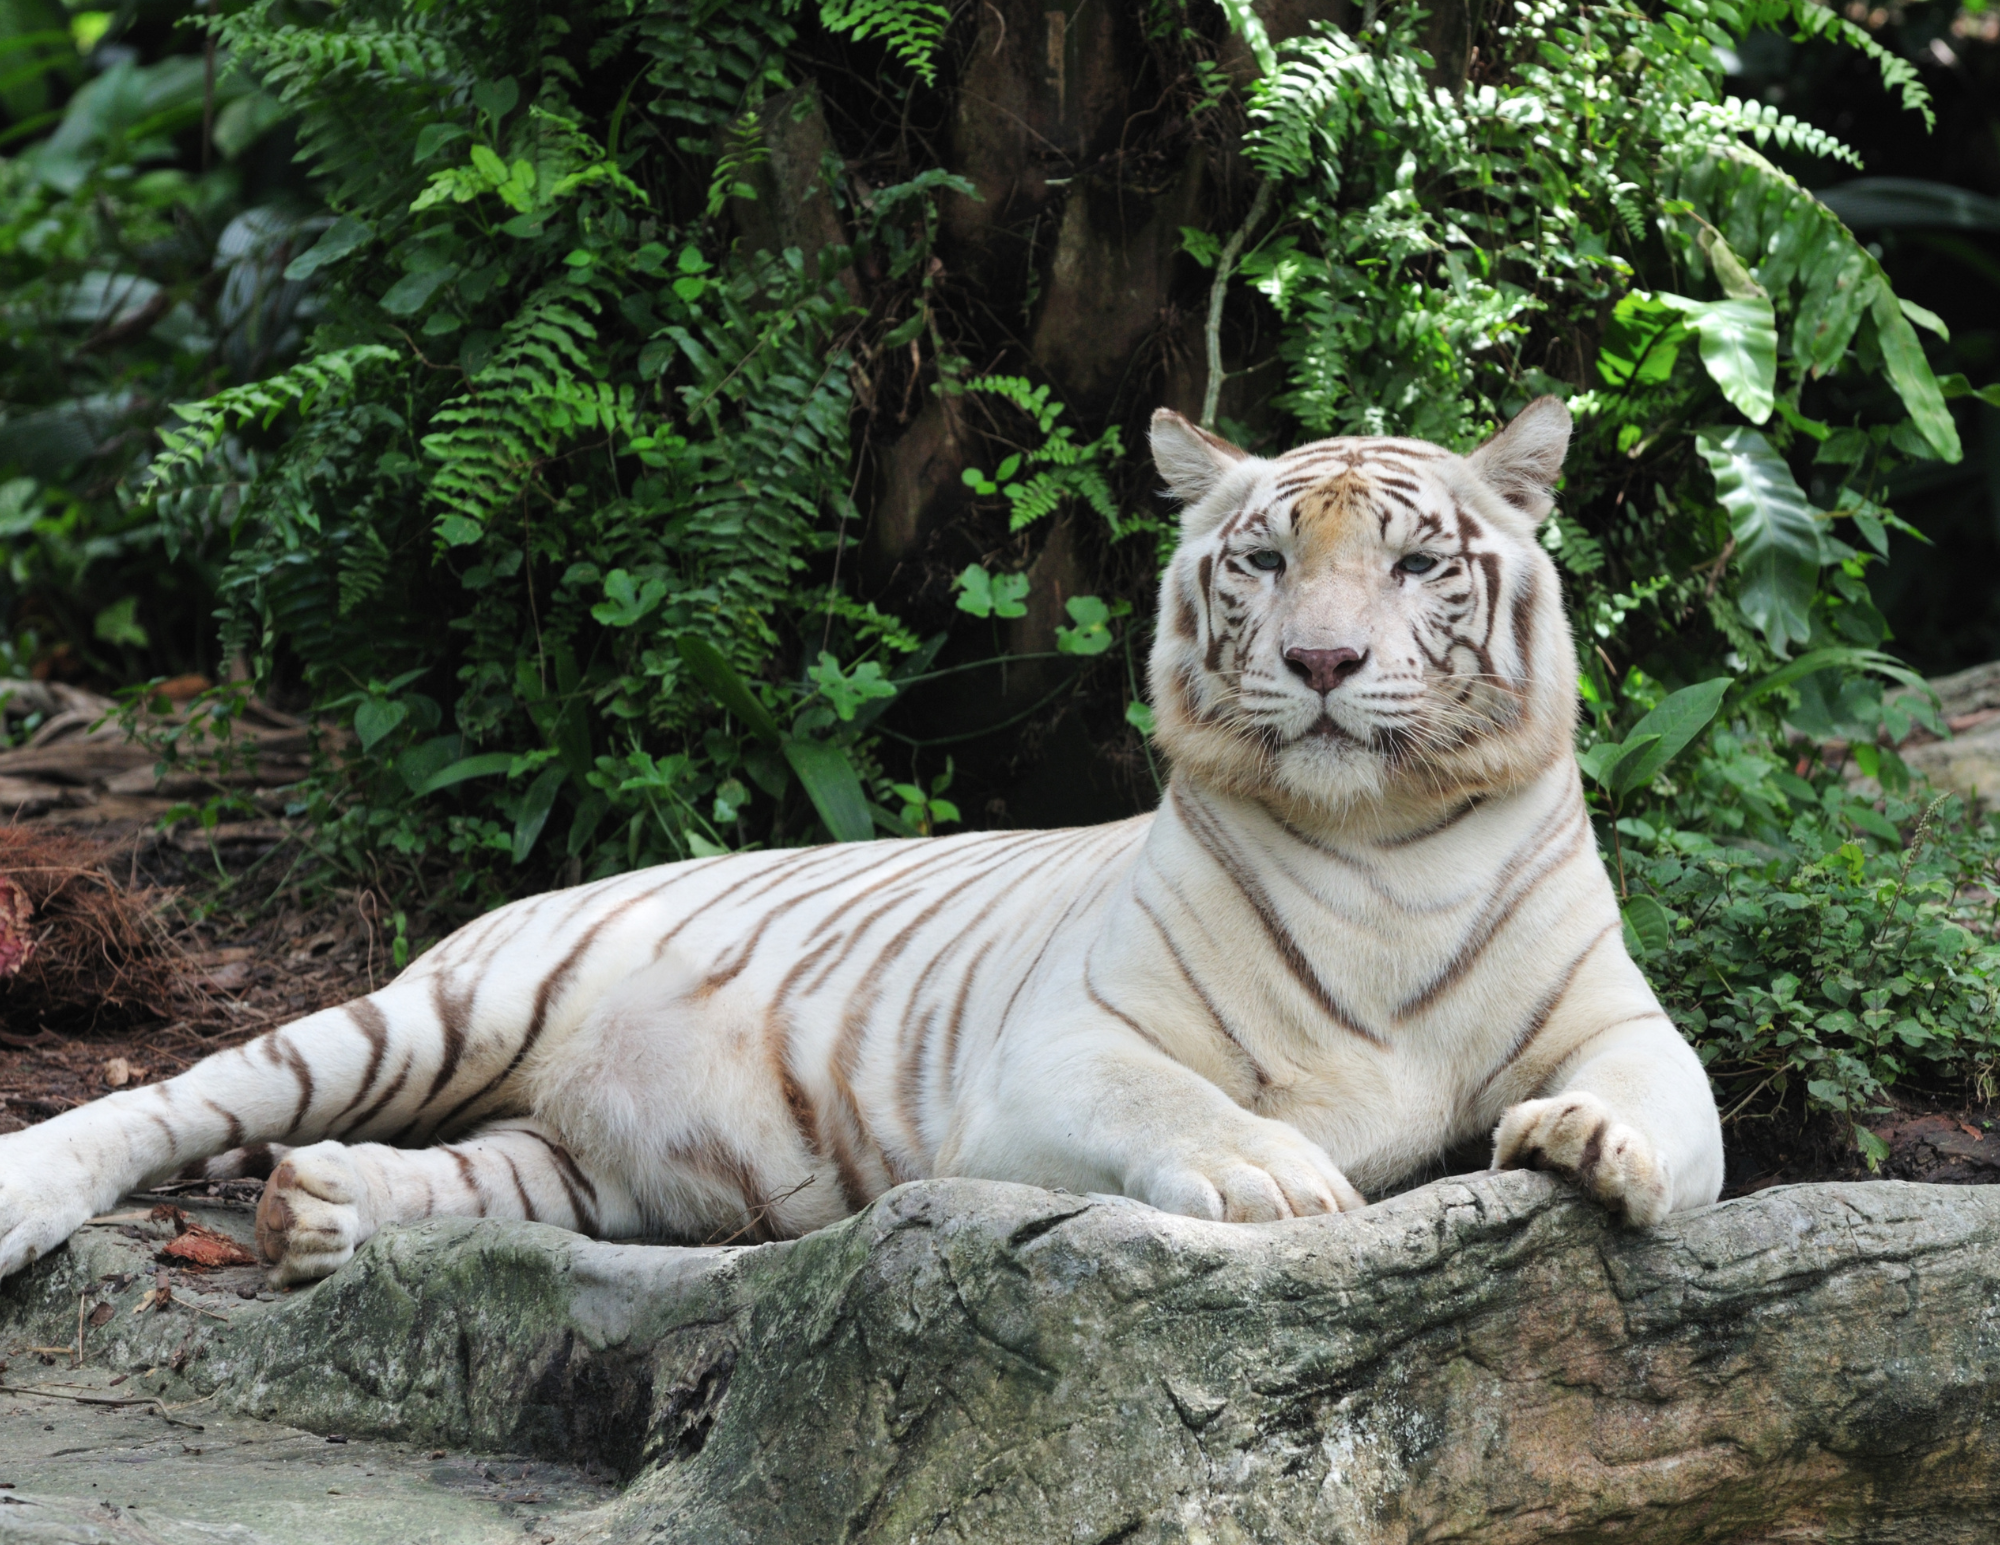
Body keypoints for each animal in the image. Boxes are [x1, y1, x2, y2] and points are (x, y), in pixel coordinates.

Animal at [0, 396, 1720, 1280]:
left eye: (1418, 561)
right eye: (1261, 560)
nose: (1320, 661)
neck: (1385, 857)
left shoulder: (1618, 1015)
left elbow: (1676, 1109)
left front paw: (1594, 1143)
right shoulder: (1053, 1059)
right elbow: (1185, 1104)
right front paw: (1287, 1179)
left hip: (581, 1159)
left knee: (475, 1177)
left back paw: (325, 1210)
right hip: (440, 1007)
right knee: (179, 1097)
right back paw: (44, 1193)